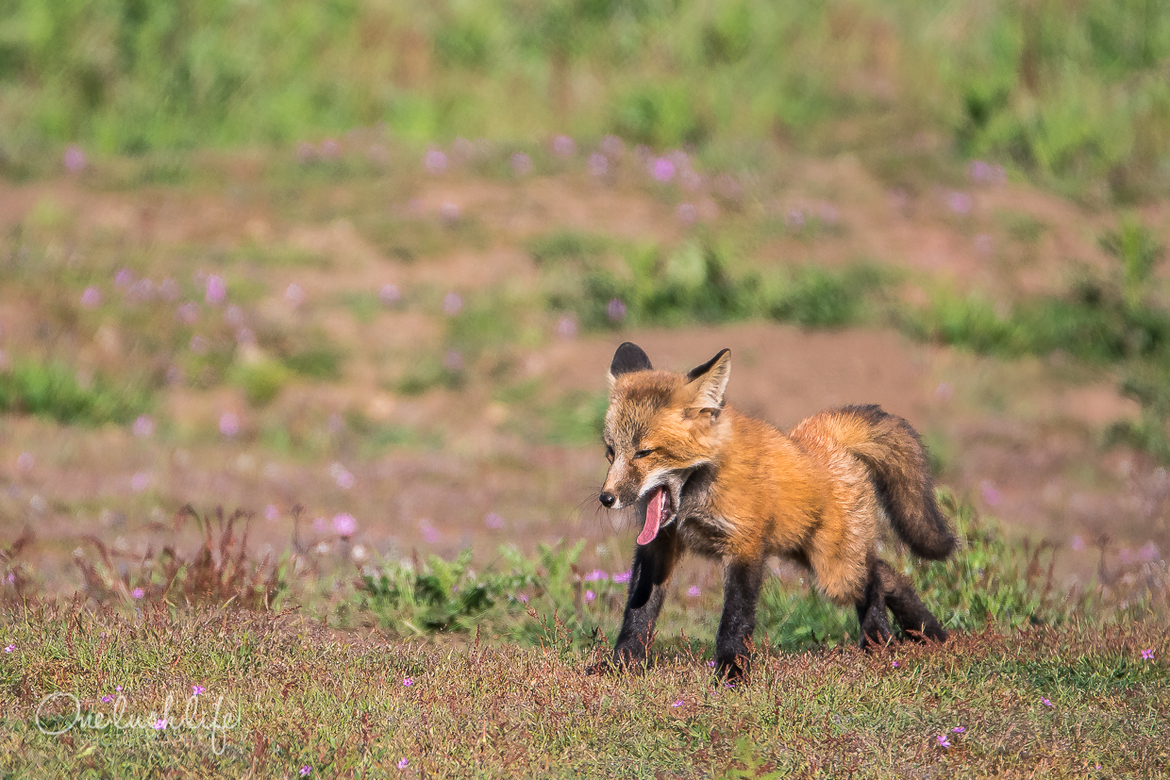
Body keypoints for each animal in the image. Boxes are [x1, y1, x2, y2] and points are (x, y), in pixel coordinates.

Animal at [593, 342, 955, 679]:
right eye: (611, 452)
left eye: (644, 453)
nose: (606, 498)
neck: (694, 499)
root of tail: (822, 438)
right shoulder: (659, 545)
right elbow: (638, 612)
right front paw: (621, 663)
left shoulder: (745, 546)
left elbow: (735, 617)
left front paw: (731, 672)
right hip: (808, 553)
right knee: (888, 572)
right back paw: (929, 634)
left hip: (834, 572)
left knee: (874, 581)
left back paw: (879, 639)